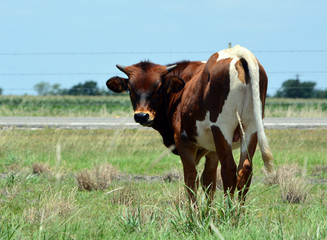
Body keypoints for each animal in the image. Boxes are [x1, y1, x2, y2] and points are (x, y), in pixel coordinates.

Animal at [107, 45, 274, 202]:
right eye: (130, 89)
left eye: (158, 89)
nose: (141, 115)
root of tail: (237, 53)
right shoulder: (212, 149)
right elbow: (208, 181)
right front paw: (206, 212)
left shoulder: (183, 142)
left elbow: (190, 178)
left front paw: (194, 213)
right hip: (250, 129)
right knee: (244, 169)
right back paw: (238, 212)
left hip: (222, 128)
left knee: (228, 169)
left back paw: (228, 211)